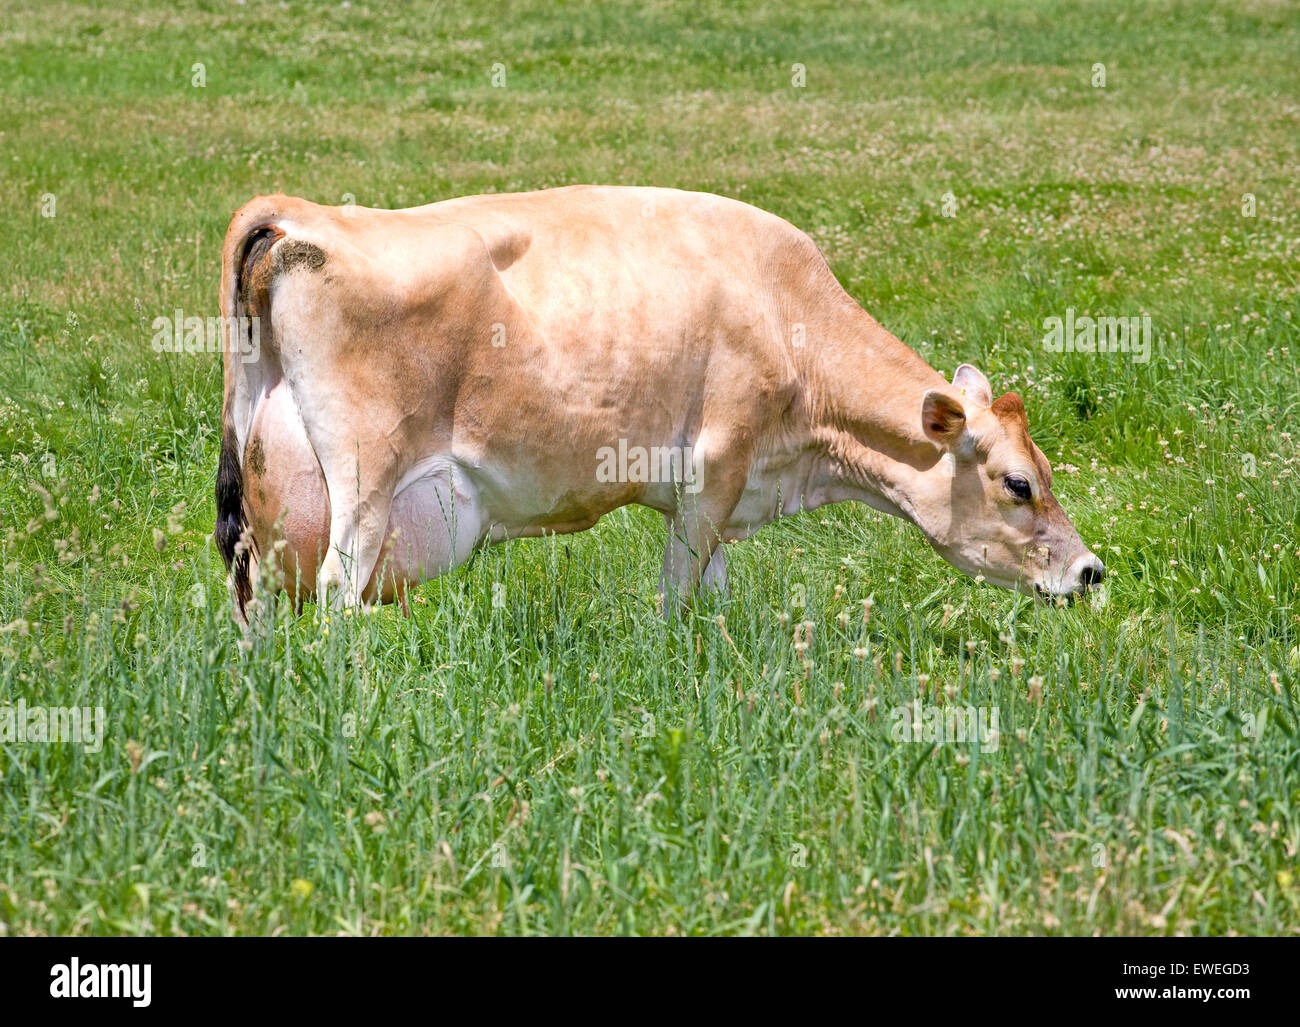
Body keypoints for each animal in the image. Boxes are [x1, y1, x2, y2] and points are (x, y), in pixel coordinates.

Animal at [215, 184, 1107, 618]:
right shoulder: (715, 469)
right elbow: (678, 597)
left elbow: (711, 595)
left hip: (266, 496)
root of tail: (304, 214)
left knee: (253, 590)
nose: (1092, 571)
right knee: (339, 591)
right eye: (1019, 483)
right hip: (363, 478)